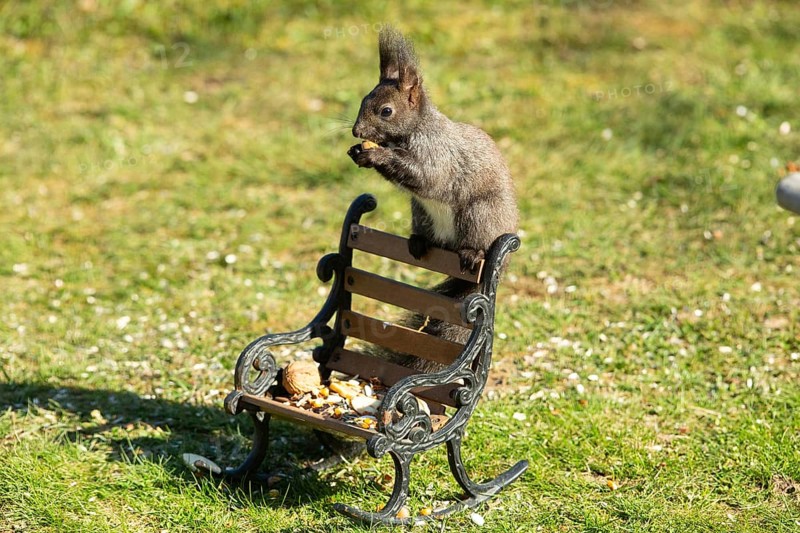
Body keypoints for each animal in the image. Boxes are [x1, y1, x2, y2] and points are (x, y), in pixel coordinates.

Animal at [347, 27, 518, 372]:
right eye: (363, 100)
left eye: (386, 111)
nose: (358, 132)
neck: (411, 133)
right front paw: (359, 152)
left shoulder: (437, 156)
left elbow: (426, 177)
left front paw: (376, 155)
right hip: (421, 212)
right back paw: (419, 242)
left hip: (479, 214)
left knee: (473, 242)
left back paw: (471, 253)